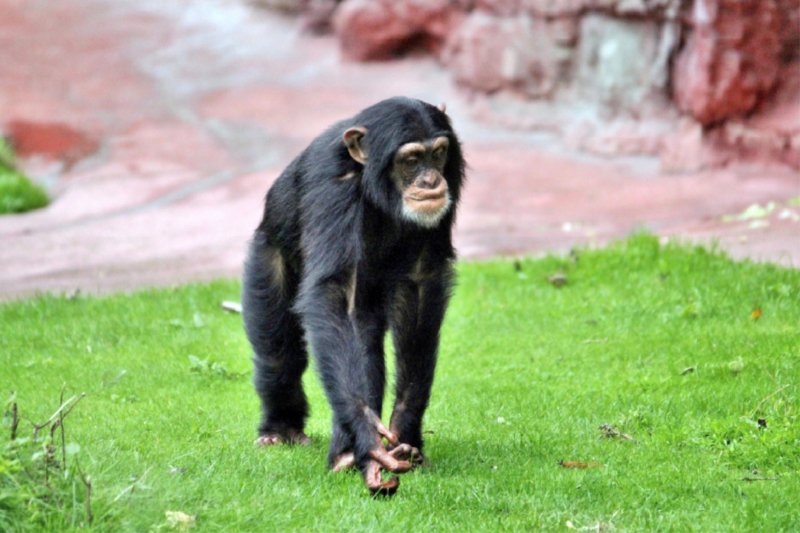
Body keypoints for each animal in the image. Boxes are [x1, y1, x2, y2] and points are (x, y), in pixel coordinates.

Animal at [241, 96, 466, 494]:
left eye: (438, 154)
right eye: (411, 160)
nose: (430, 181)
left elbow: (421, 287)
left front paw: (404, 430)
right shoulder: (333, 183)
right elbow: (337, 290)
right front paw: (366, 433)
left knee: (365, 346)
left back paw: (353, 453)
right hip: (267, 252)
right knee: (278, 354)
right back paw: (285, 432)